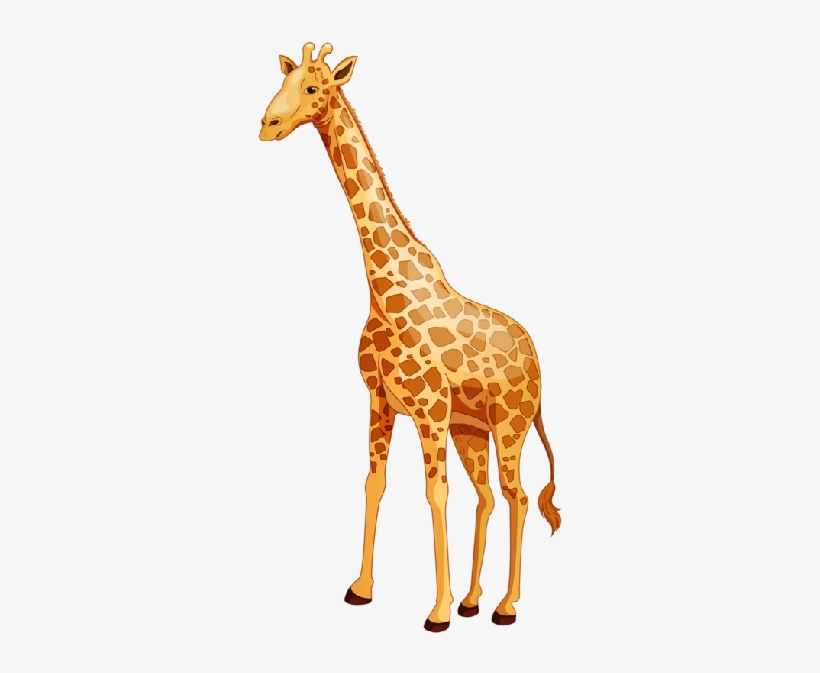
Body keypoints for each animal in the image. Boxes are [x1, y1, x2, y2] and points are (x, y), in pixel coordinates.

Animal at [259, 42, 561, 633]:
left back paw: (505, 605)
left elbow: (434, 493)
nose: (267, 125)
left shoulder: (429, 409)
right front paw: (361, 589)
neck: (382, 286)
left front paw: (436, 612)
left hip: (510, 425)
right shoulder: (380, 400)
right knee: (488, 497)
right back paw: (474, 599)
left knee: (516, 496)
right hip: (473, 431)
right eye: (283, 81)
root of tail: (539, 361)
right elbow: (374, 483)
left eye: (314, 87)